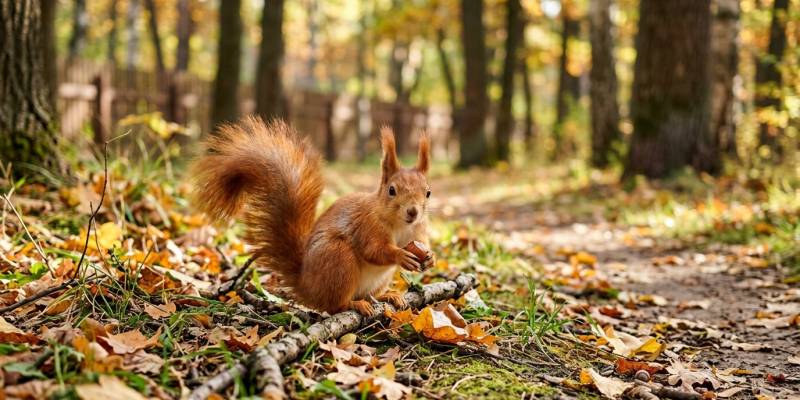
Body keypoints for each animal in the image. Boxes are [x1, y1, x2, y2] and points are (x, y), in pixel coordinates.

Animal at [190, 117, 434, 316]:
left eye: (428, 192)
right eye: (392, 190)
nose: (413, 212)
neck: (399, 224)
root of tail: (307, 285)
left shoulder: (418, 229)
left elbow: (421, 243)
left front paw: (430, 257)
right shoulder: (367, 225)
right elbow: (374, 250)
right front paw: (400, 255)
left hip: (378, 278)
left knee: (367, 294)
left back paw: (387, 296)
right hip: (338, 259)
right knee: (335, 305)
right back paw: (354, 304)